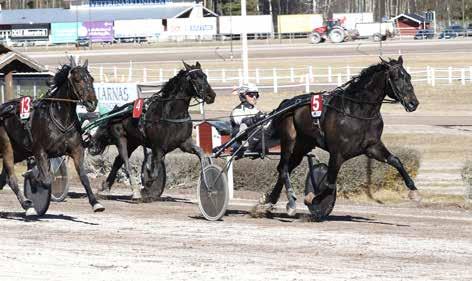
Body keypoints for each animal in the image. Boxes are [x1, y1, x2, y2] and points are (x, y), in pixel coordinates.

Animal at [89, 61, 217, 199]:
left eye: (205, 76)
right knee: (125, 161)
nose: (211, 95)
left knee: (118, 161)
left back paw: (106, 187)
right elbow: (154, 173)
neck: (173, 115)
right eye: (194, 78)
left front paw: (208, 179)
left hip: (133, 142)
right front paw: (146, 186)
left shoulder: (184, 143)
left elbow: (201, 153)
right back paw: (134, 191)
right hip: (120, 138)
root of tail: (116, 111)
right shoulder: (158, 147)